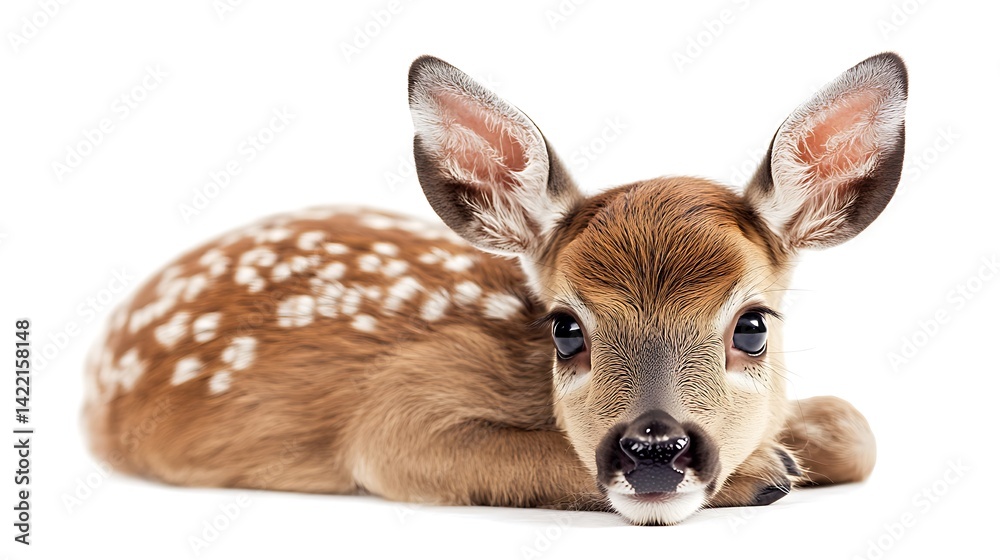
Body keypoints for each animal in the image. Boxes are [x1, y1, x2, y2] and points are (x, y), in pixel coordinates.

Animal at [84, 52, 907, 525]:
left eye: (753, 325)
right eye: (565, 327)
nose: (653, 447)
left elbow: (856, 426)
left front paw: (794, 447)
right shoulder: (399, 413)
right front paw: (769, 472)